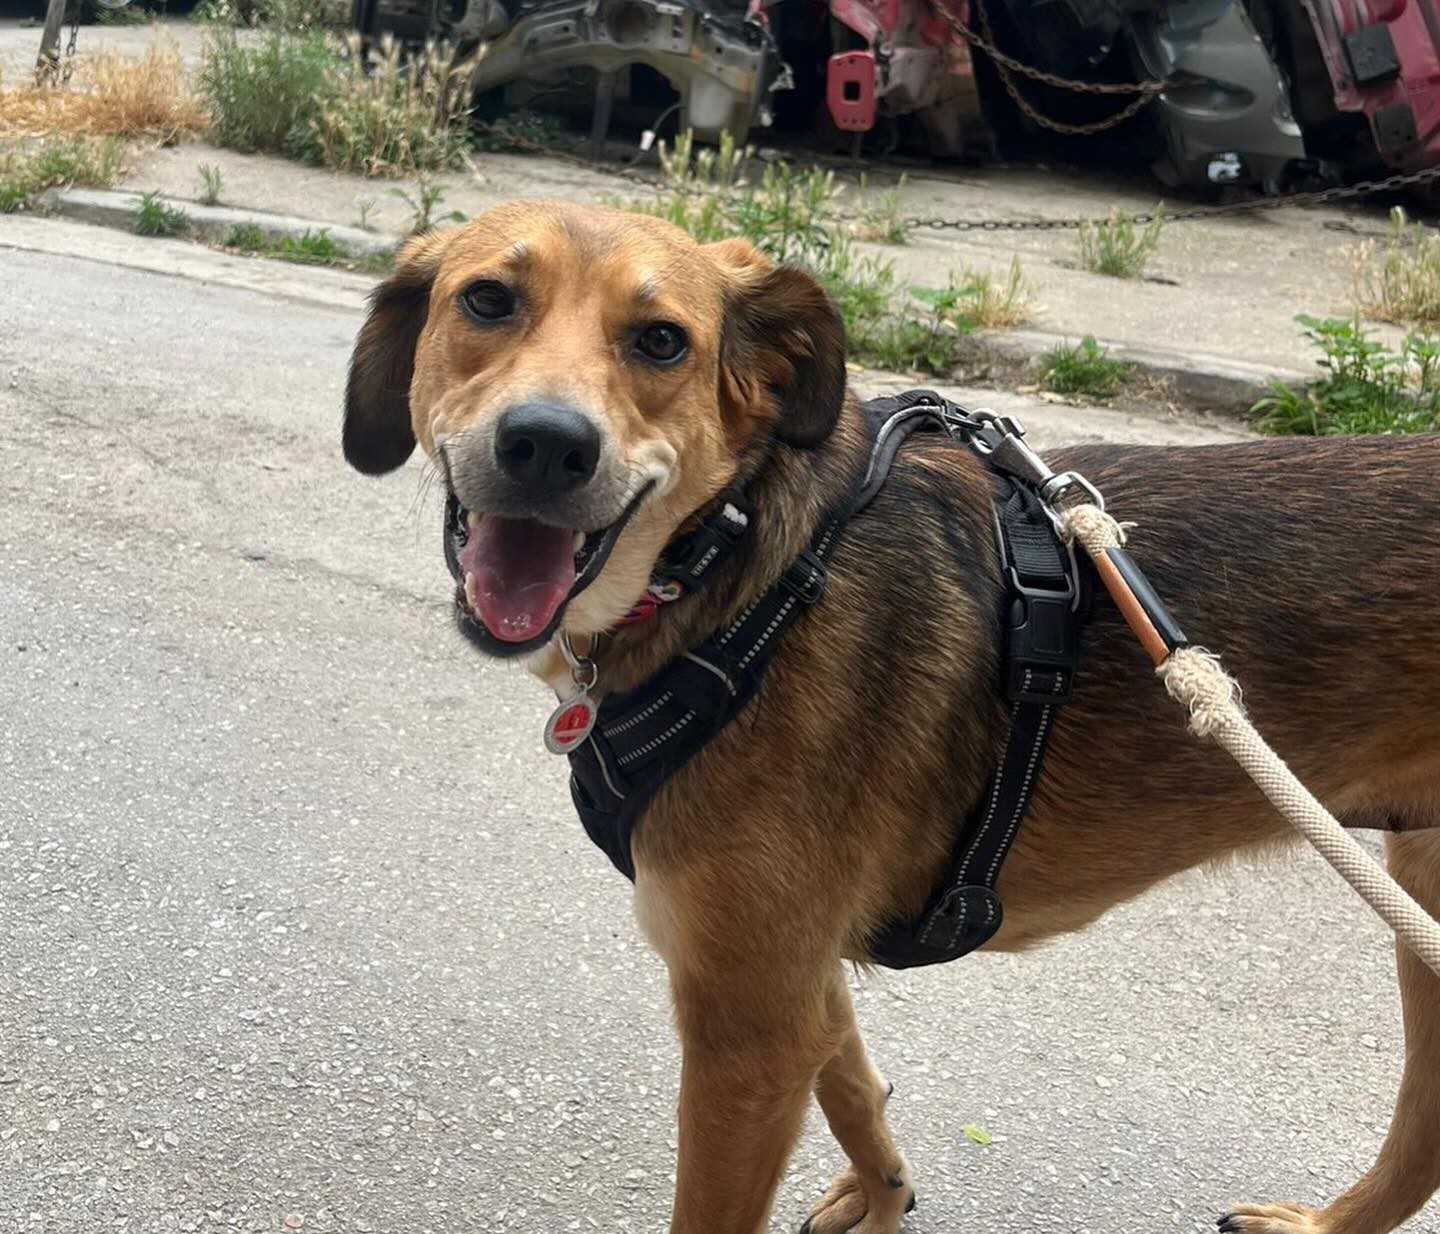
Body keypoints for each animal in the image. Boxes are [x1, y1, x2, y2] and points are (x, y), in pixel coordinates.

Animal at [341, 199, 1440, 1234]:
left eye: (660, 340)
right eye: (487, 300)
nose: (546, 445)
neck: (741, 570)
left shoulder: (747, 1028)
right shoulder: (790, 978)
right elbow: (855, 1092)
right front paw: (884, 1196)